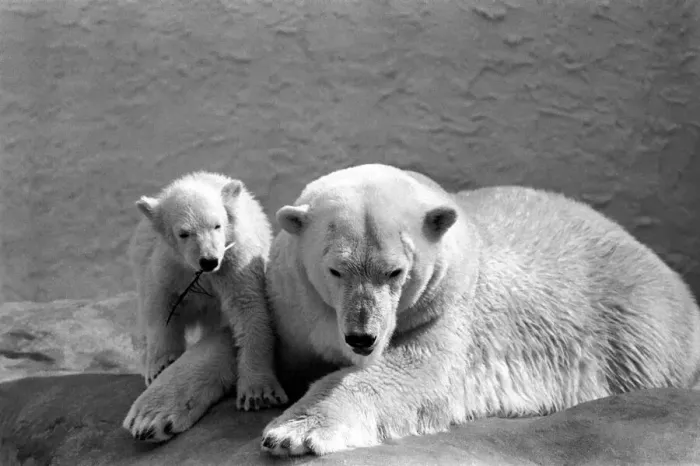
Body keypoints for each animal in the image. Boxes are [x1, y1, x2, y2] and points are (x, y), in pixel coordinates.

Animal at [121, 171, 287, 442]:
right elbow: (161, 311)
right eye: (184, 233)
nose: (208, 260)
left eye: (217, 225)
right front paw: (161, 366)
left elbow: (249, 310)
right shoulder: (167, 266)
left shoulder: (234, 262)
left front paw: (257, 393)